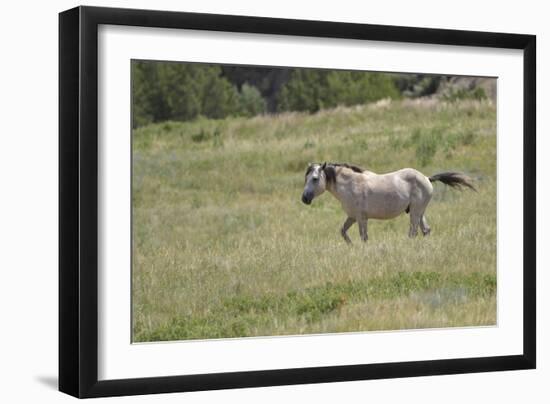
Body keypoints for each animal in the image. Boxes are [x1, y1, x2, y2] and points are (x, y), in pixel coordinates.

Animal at [304, 162, 476, 243]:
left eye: (315, 179)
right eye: (306, 178)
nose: (304, 198)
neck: (351, 184)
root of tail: (426, 178)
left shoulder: (361, 218)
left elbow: (364, 237)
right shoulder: (352, 217)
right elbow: (343, 231)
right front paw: (351, 245)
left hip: (415, 212)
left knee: (413, 232)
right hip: (420, 212)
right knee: (425, 230)